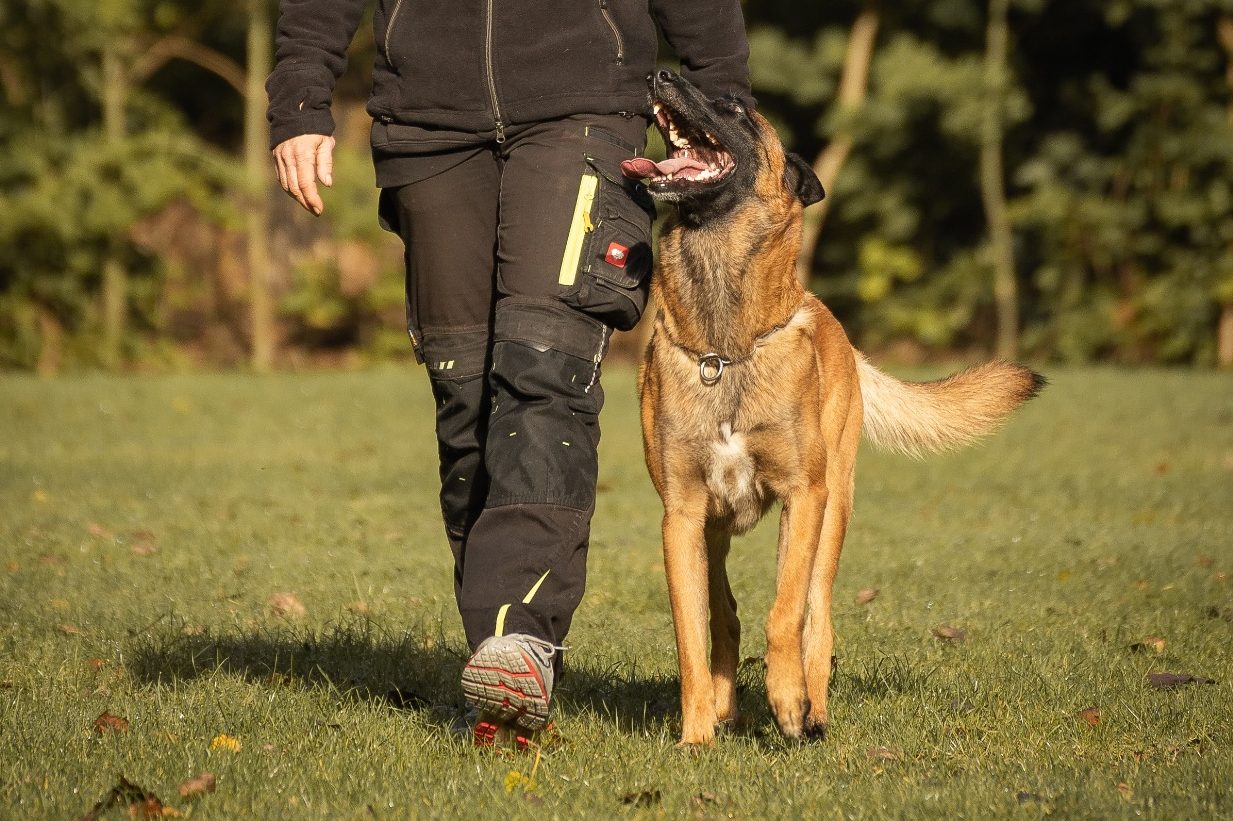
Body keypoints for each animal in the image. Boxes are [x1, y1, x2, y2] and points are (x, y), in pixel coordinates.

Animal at [626, 70, 1040, 744]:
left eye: (733, 106)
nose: (660, 74)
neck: (726, 347)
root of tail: (832, 321)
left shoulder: (804, 496)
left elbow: (785, 614)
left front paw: (789, 702)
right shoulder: (681, 516)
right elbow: (692, 634)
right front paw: (695, 736)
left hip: (833, 509)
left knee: (815, 616)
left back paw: (811, 707)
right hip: (715, 529)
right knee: (724, 615)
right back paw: (726, 708)